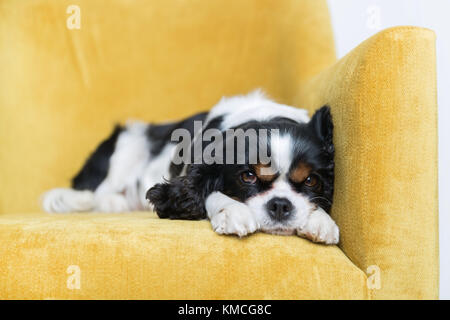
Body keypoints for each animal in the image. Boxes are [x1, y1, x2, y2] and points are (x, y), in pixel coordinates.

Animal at [43, 91, 338, 244]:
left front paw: (322, 220)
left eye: (311, 181)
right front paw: (232, 211)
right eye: (248, 176)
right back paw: (113, 203)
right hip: (127, 144)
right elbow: (206, 192)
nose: (280, 205)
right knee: (99, 193)